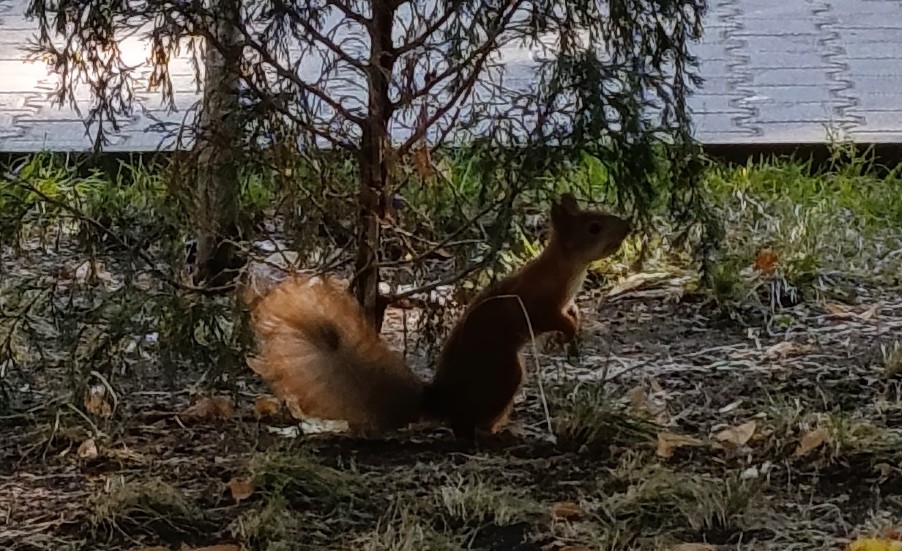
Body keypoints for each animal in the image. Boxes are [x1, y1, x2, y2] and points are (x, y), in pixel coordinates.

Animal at [245, 193, 630, 439]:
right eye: (594, 227)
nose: (626, 226)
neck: (565, 269)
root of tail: (442, 399)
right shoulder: (537, 303)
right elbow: (550, 318)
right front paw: (570, 330)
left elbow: (570, 310)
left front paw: (577, 320)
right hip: (506, 374)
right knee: (466, 426)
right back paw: (500, 432)